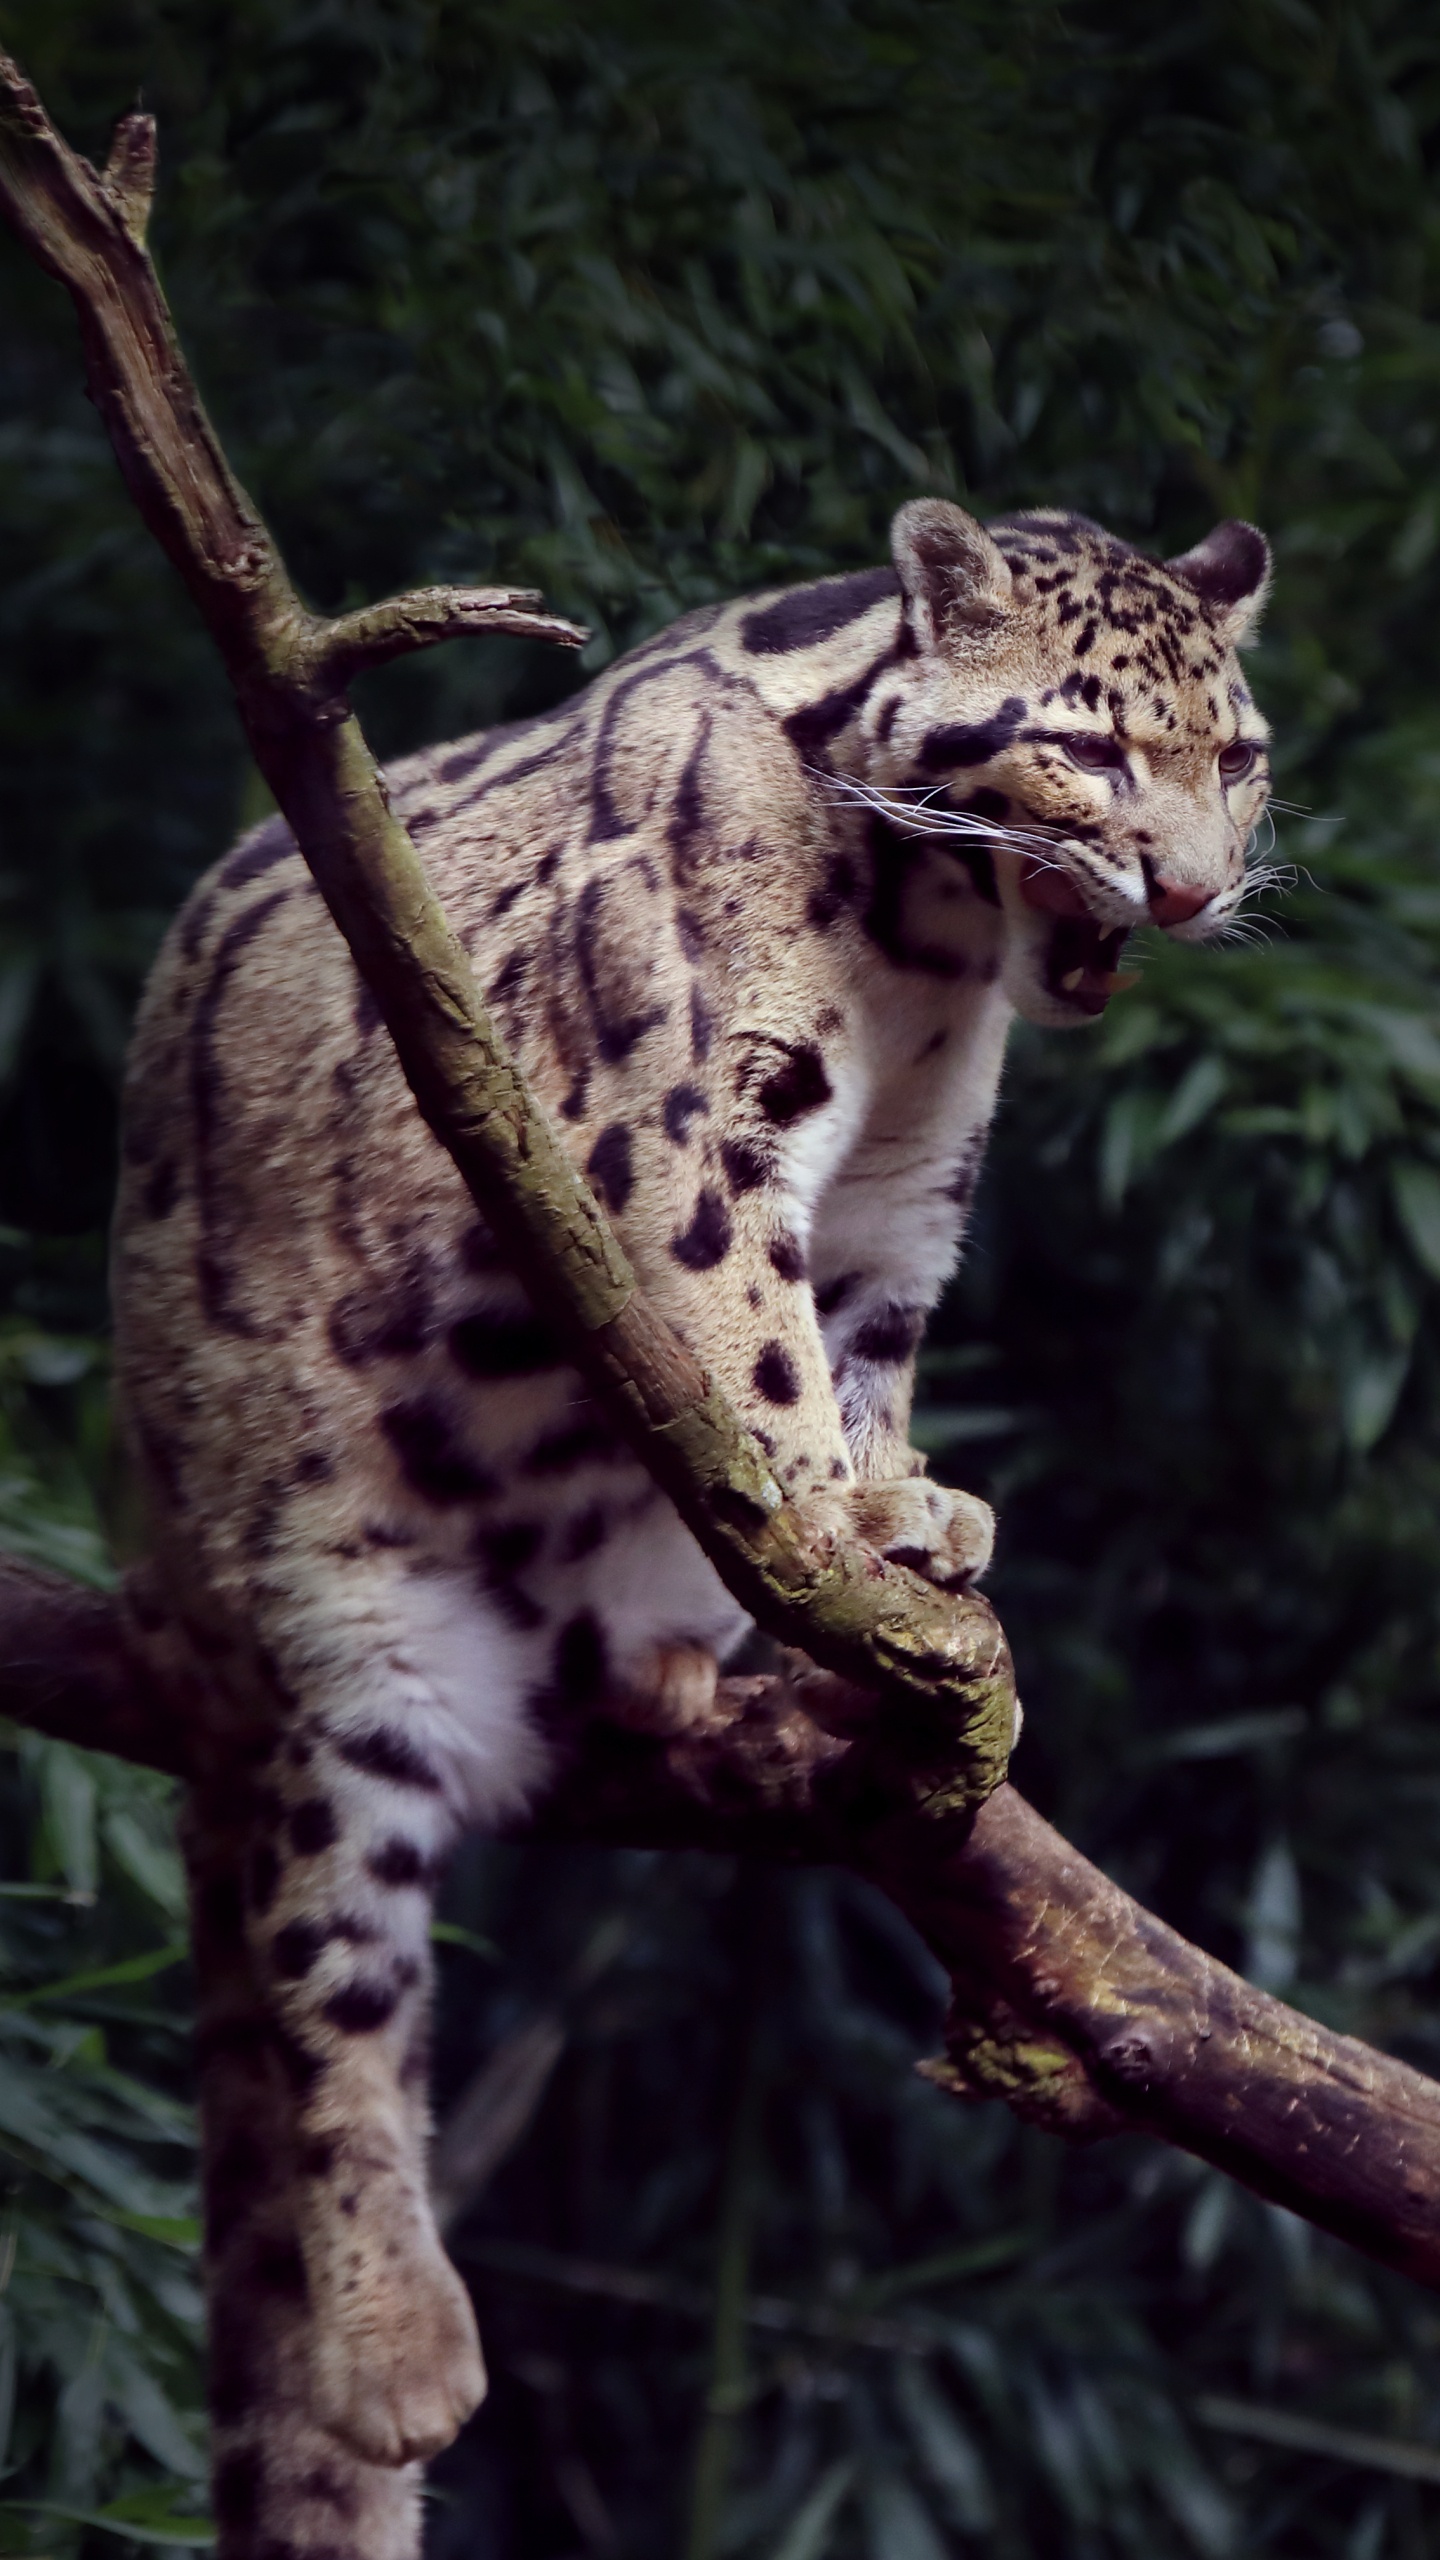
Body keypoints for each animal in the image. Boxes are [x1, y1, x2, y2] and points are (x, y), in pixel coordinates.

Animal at [111, 498, 1271, 2552]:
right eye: (1091, 745)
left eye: (1242, 756)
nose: (1197, 893)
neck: (927, 955)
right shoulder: (679, 1130)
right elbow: (754, 1338)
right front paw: (845, 1525)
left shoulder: (905, 1196)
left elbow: (860, 1349)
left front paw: (900, 1511)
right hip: (344, 1648)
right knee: (333, 1983)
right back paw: (401, 2347)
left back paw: (665, 1664)